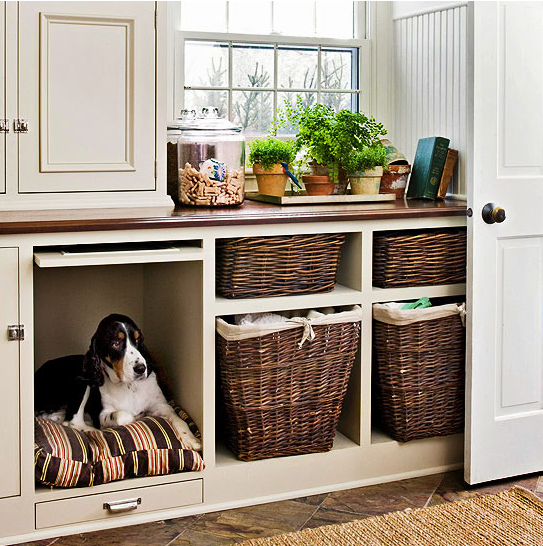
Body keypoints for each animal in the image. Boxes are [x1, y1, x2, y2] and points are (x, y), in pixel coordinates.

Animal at [35, 312, 203, 448]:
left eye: (138, 340)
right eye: (116, 343)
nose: (141, 368)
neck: (129, 386)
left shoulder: (160, 404)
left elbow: (177, 417)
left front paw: (192, 440)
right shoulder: (103, 414)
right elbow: (123, 415)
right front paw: (133, 417)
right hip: (83, 381)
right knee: (72, 421)